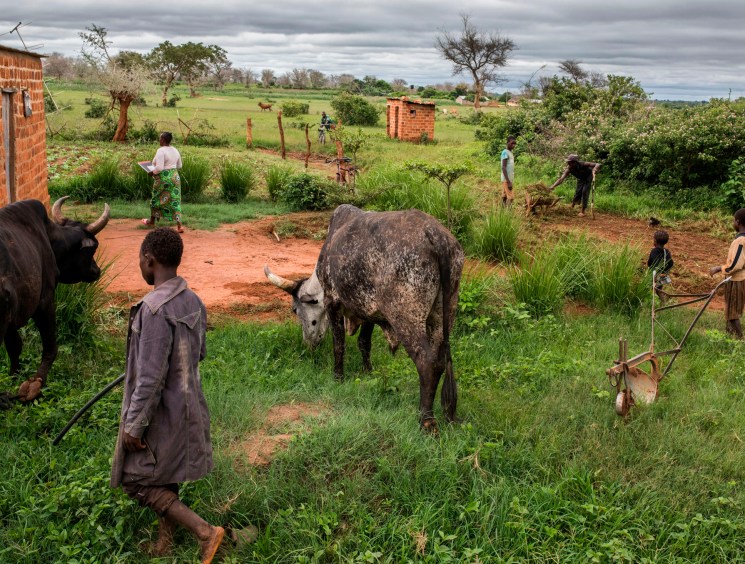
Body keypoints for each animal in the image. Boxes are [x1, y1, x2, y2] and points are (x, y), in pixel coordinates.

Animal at [0, 197, 110, 408]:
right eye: (93, 248)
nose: (96, 271)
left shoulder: (12, 317)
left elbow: (14, 346)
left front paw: (14, 376)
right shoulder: (45, 300)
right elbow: (51, 346)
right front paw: (35, 385)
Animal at [265, 204, 464, 430]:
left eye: (295, 310)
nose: (308, 343)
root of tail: (436, 236)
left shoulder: (332, 302)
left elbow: (339, 345)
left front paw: (338, 378)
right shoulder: (370, 312)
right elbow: (364, 343)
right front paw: (368, 372)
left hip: (406, 317)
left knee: (427, 363)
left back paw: (426, 420)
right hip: (443, 316)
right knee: (442, 360)